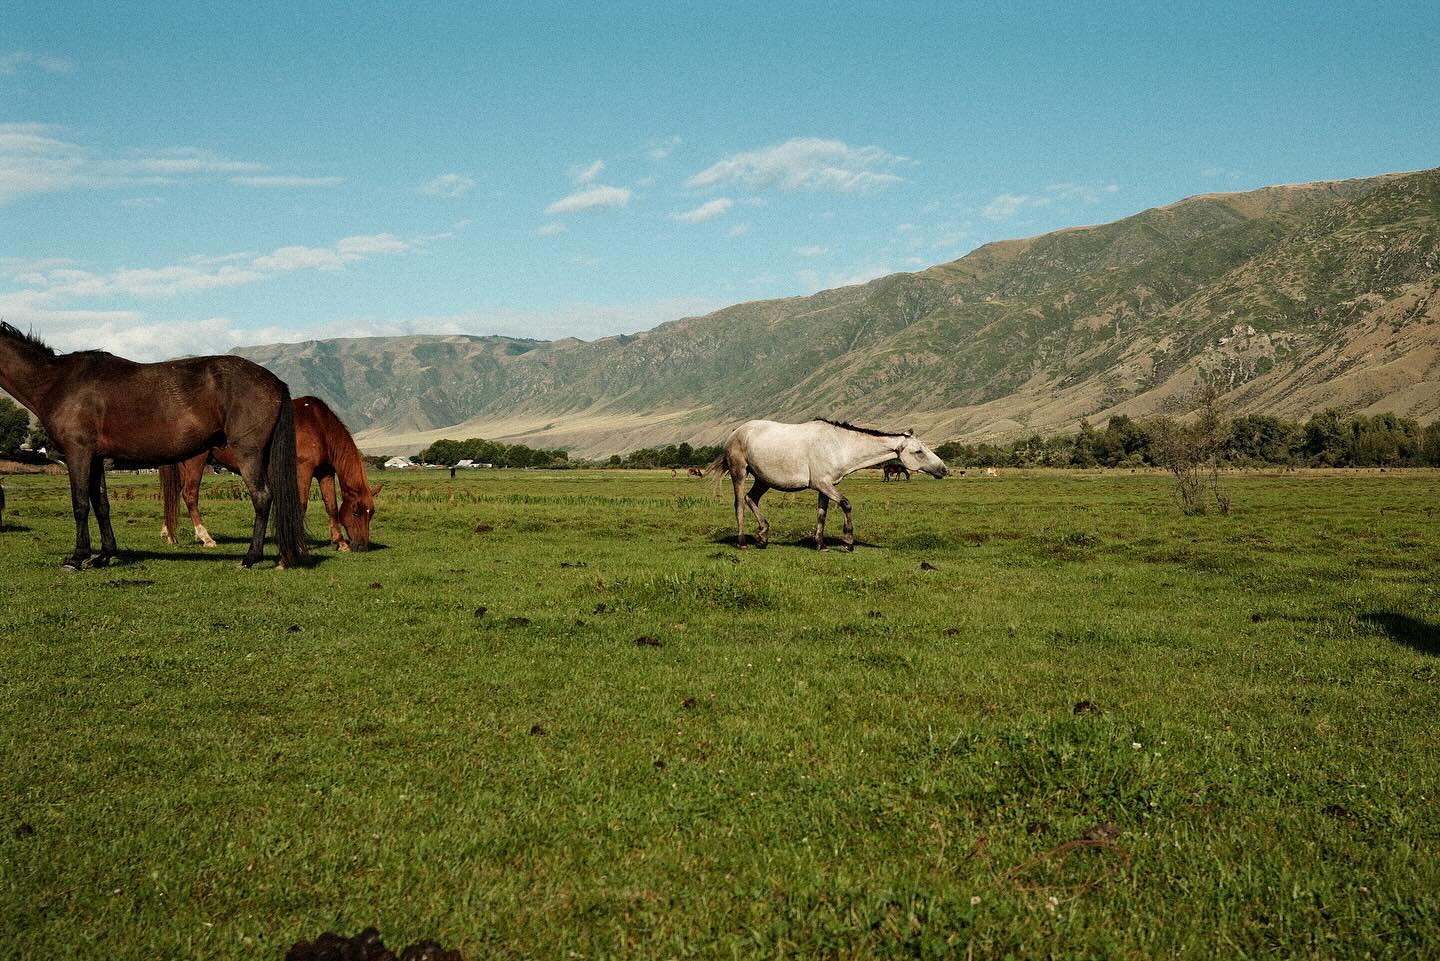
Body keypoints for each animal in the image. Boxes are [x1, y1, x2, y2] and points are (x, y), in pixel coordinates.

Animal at [1, 321, 306, 570]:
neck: (57, 382)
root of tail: (275, 382)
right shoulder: (96, 457)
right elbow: (101, 504)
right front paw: (104, 555)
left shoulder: (78, 453)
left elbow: (80, 504)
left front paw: (77, 558)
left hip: (248, 453)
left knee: (262, 497)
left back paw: (250, 557)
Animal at [162, 394, 383, 553]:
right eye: (356, 512)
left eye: (371, 513)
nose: (361, 546)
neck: (319, 427)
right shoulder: (303, 470)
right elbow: (301, 504)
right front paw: (299, 543)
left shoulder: (325, 473)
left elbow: (331, 507)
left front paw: (339, 542)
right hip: (195, 461)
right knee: (190, 494)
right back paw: (206, 538)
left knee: (173, 495)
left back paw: (170, 534)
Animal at [705, 417, 944, 547]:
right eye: (919, 451)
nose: (944, 469)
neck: (839, 445)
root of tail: (736, 432)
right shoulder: (823, 484)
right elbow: (846, 504)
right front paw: (848, 542)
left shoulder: (827, 487)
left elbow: (822, 514)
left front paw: (820, 544)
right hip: (739, 473)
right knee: (739, 504)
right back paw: (743, 542)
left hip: (764, 479)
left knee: (751, 499)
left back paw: (763, 535)